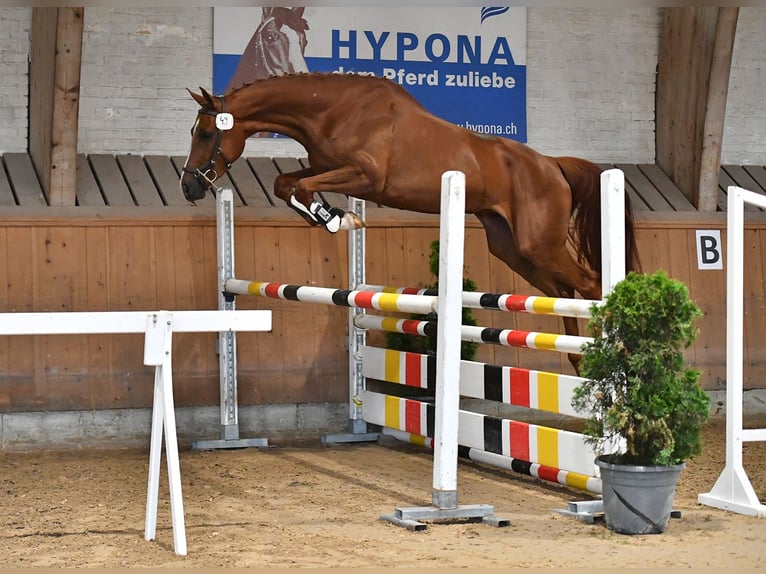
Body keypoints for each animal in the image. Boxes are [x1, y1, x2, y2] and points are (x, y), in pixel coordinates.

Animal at [182, 73, 640, 374]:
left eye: (204, 134)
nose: (189, 186)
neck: (332, 110)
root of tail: (552, 166)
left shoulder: (364, 176)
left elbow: (301, 185)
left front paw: (336, 219)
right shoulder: (327, 166)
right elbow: (285, 183)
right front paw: (332, 216)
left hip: (538, 243)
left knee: (590, 285)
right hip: (513, 249)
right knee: (565, 292)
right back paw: (579, 357)